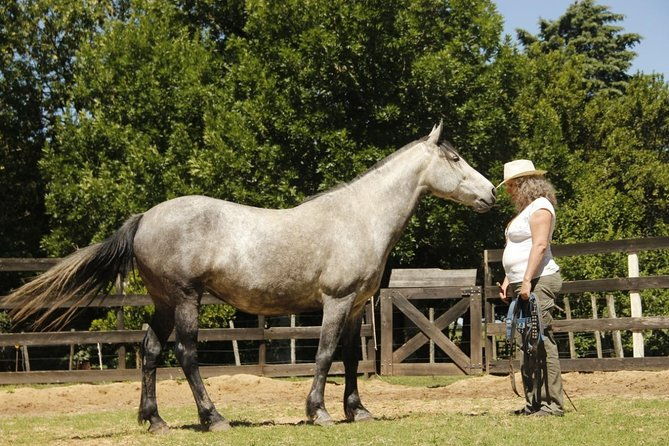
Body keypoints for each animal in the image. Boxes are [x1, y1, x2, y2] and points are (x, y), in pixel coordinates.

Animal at [5, 122, 496, 433]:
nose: (490, 193)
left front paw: (357, 411)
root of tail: (145, 218)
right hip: (185, 299)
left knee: (150, 352)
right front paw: (318, 413)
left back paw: (156, 420)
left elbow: (352, 359)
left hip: (164, 302)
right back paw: (214, 418)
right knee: (185, 354)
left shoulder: (357, 306)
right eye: (454, 158)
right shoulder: (335, 302)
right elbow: (323, 356)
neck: (359, 217)